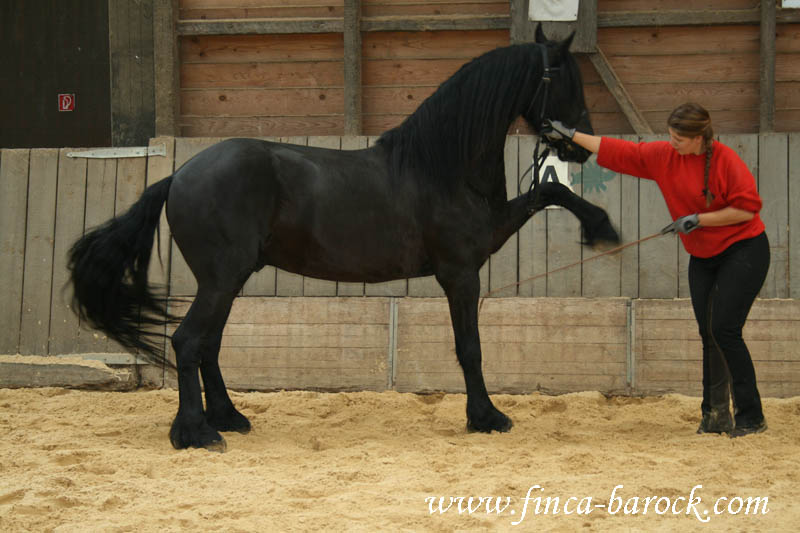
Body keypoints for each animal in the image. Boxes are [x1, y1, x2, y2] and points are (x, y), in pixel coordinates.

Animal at [68, 26, 619, 451]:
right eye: (566, 79)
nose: (582, 145)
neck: (441, 165)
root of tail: (179, 175)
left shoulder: (493, 232)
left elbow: (549, 190)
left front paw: (602, 227)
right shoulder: (461, 272)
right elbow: (470, 347)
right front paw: (486, 417)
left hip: (227, 281)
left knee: (208, 345)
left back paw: (229, 418)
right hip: (221, 279)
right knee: (187, 341)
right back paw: (195, 433)